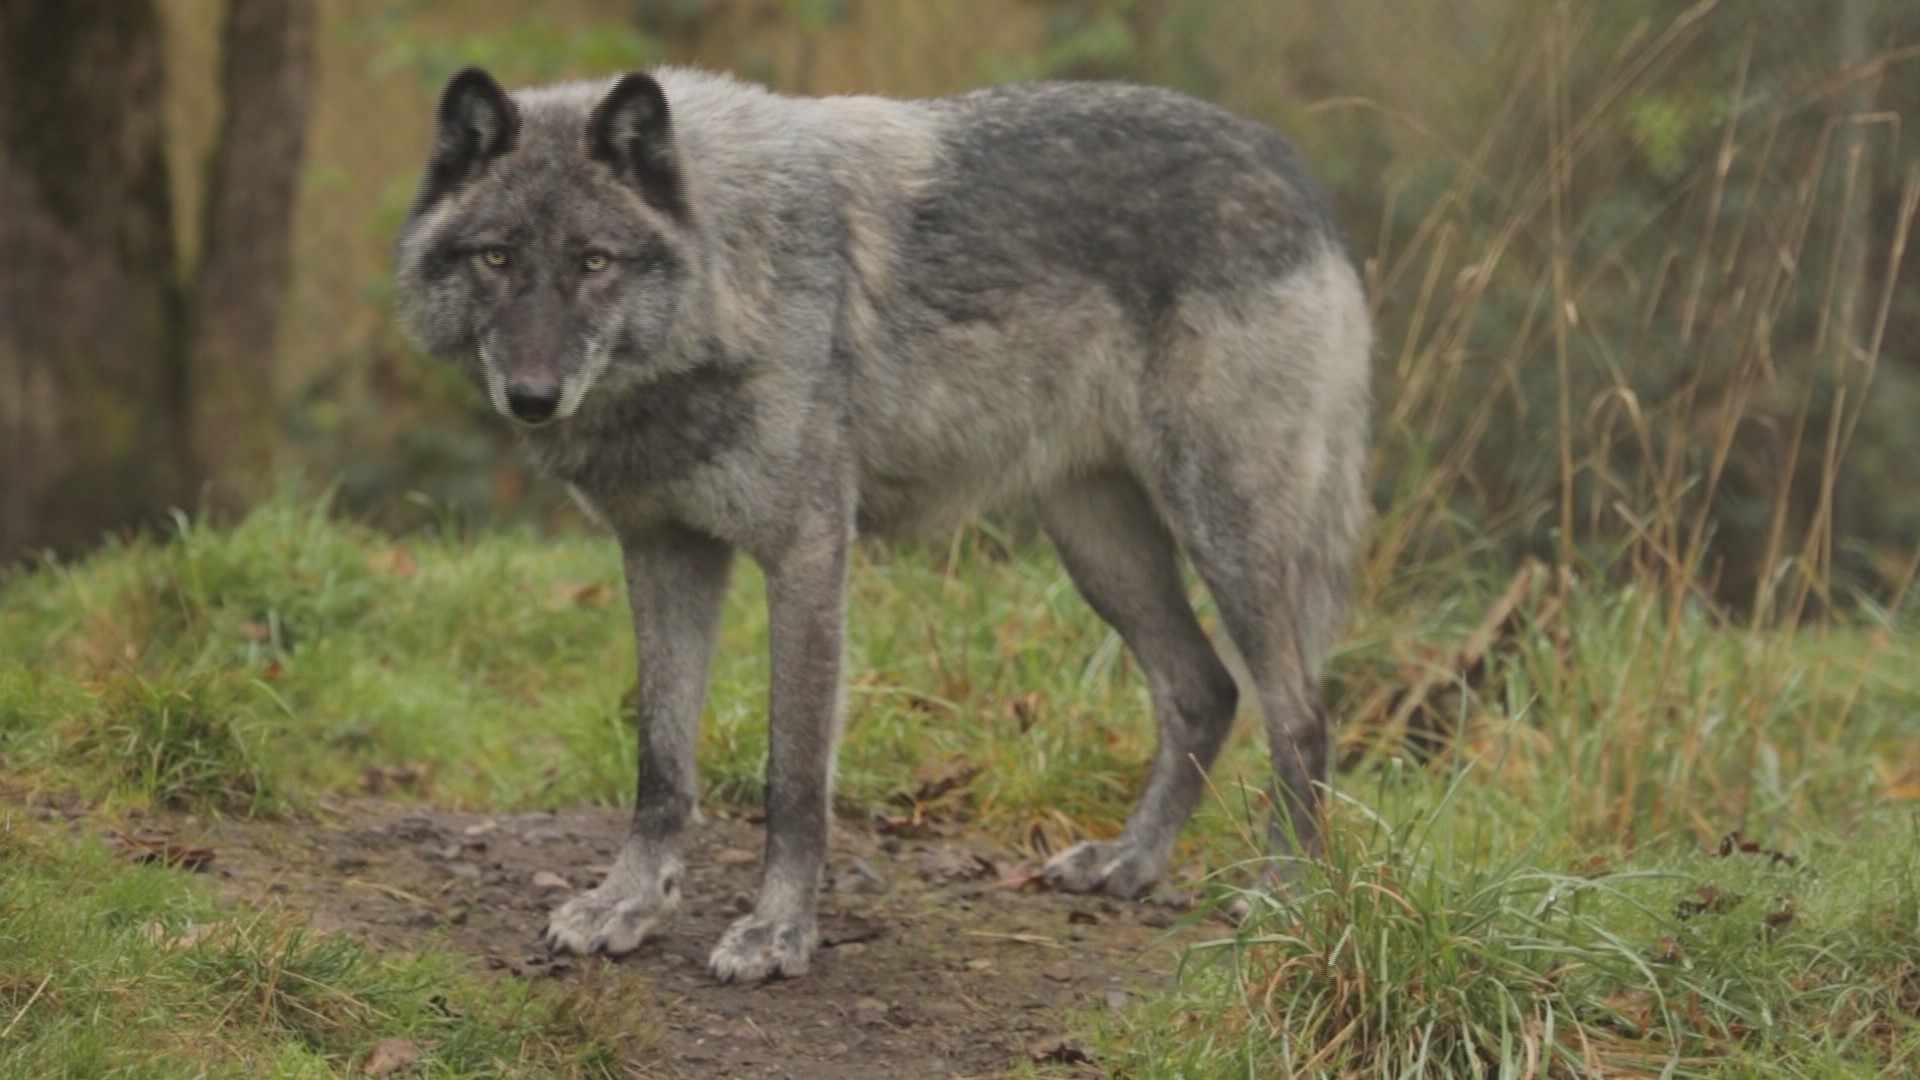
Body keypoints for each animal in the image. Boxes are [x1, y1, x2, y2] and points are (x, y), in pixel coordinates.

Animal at [393, 62, 1367, 980]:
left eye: (594, 262)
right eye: (496, 258)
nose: (532, 396)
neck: (735, 277)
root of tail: (1292, 170)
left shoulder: (808, 554)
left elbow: (793, 776)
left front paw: (779, 933)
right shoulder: (665, 551)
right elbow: (661, 763)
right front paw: (627, 905)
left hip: (1223, 532)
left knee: (1299, 714)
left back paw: (1284, 898)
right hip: (1100, 548)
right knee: (1206, 690)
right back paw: (1130, 862)